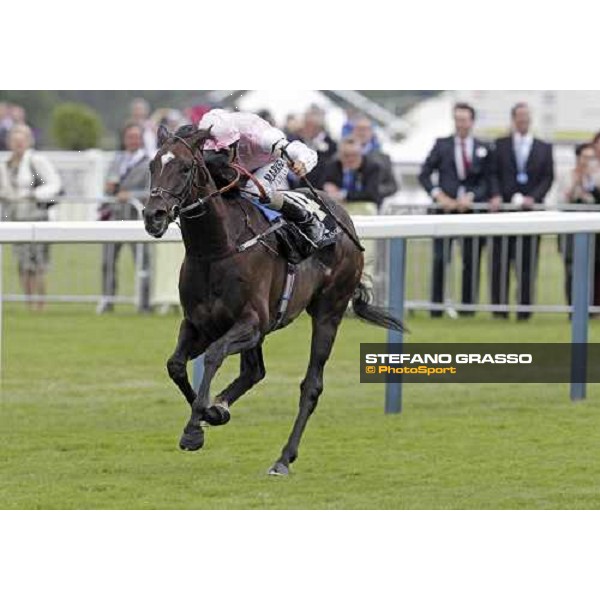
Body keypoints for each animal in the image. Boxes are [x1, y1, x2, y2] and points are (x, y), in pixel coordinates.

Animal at [142, 125, 404, 474]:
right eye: (152, 166)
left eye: (185, 168)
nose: (153, 216)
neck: (217, 249)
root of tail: (344, 218)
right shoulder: (199, 324)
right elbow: (175, 365)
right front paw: (211, 411)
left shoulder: (251, 322)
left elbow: (213, 356)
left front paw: (194, 430)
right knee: (255, 371)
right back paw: (222, 407)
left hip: (329, 312)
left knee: (311, 385)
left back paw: (283, 458)